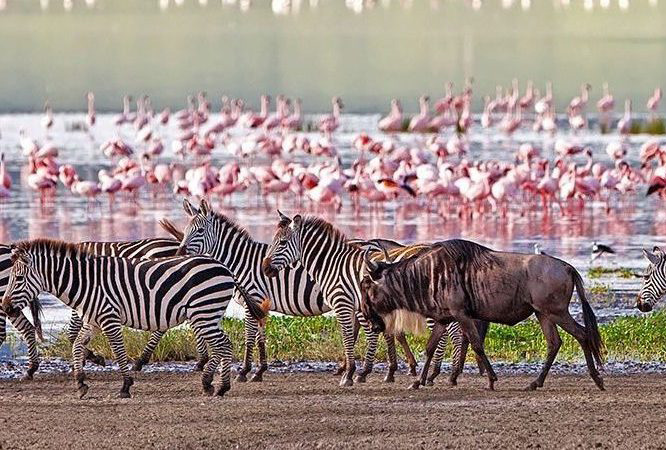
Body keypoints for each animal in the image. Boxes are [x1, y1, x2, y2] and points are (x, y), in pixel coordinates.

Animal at [0, 239, 264, 398]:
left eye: (19, 279)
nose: (4, 306)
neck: (87, 282)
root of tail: (224, 267)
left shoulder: (109, 318)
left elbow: (118, 352)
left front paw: (125, 386)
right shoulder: (93, 321)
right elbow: (76, 346)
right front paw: (81, 382)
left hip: (204, 312)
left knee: (224, 344)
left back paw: (218, 386)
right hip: (207, 314)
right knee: (222, 345)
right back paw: (213, 384)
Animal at [163, 200, 416, 384]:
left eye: (200, 230)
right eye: (186, 230)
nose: (179, 253)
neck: (241, 261)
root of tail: (375, 244)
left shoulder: (252, 296)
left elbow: (249, 337)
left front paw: (244, 371)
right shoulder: (260, 303)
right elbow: (260, 337)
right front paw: (259, 371)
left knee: (379, 331)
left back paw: (381, 371)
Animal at [260, 213, 478, 384]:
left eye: (282, 243)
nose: (265, 268)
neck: (332, 265)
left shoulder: (342, 303)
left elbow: (349, 335)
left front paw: (350, 373)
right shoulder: (357, 306)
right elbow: (367, 333)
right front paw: (359, 371)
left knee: (452, 333)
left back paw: (444, 374)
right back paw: (445, 374)